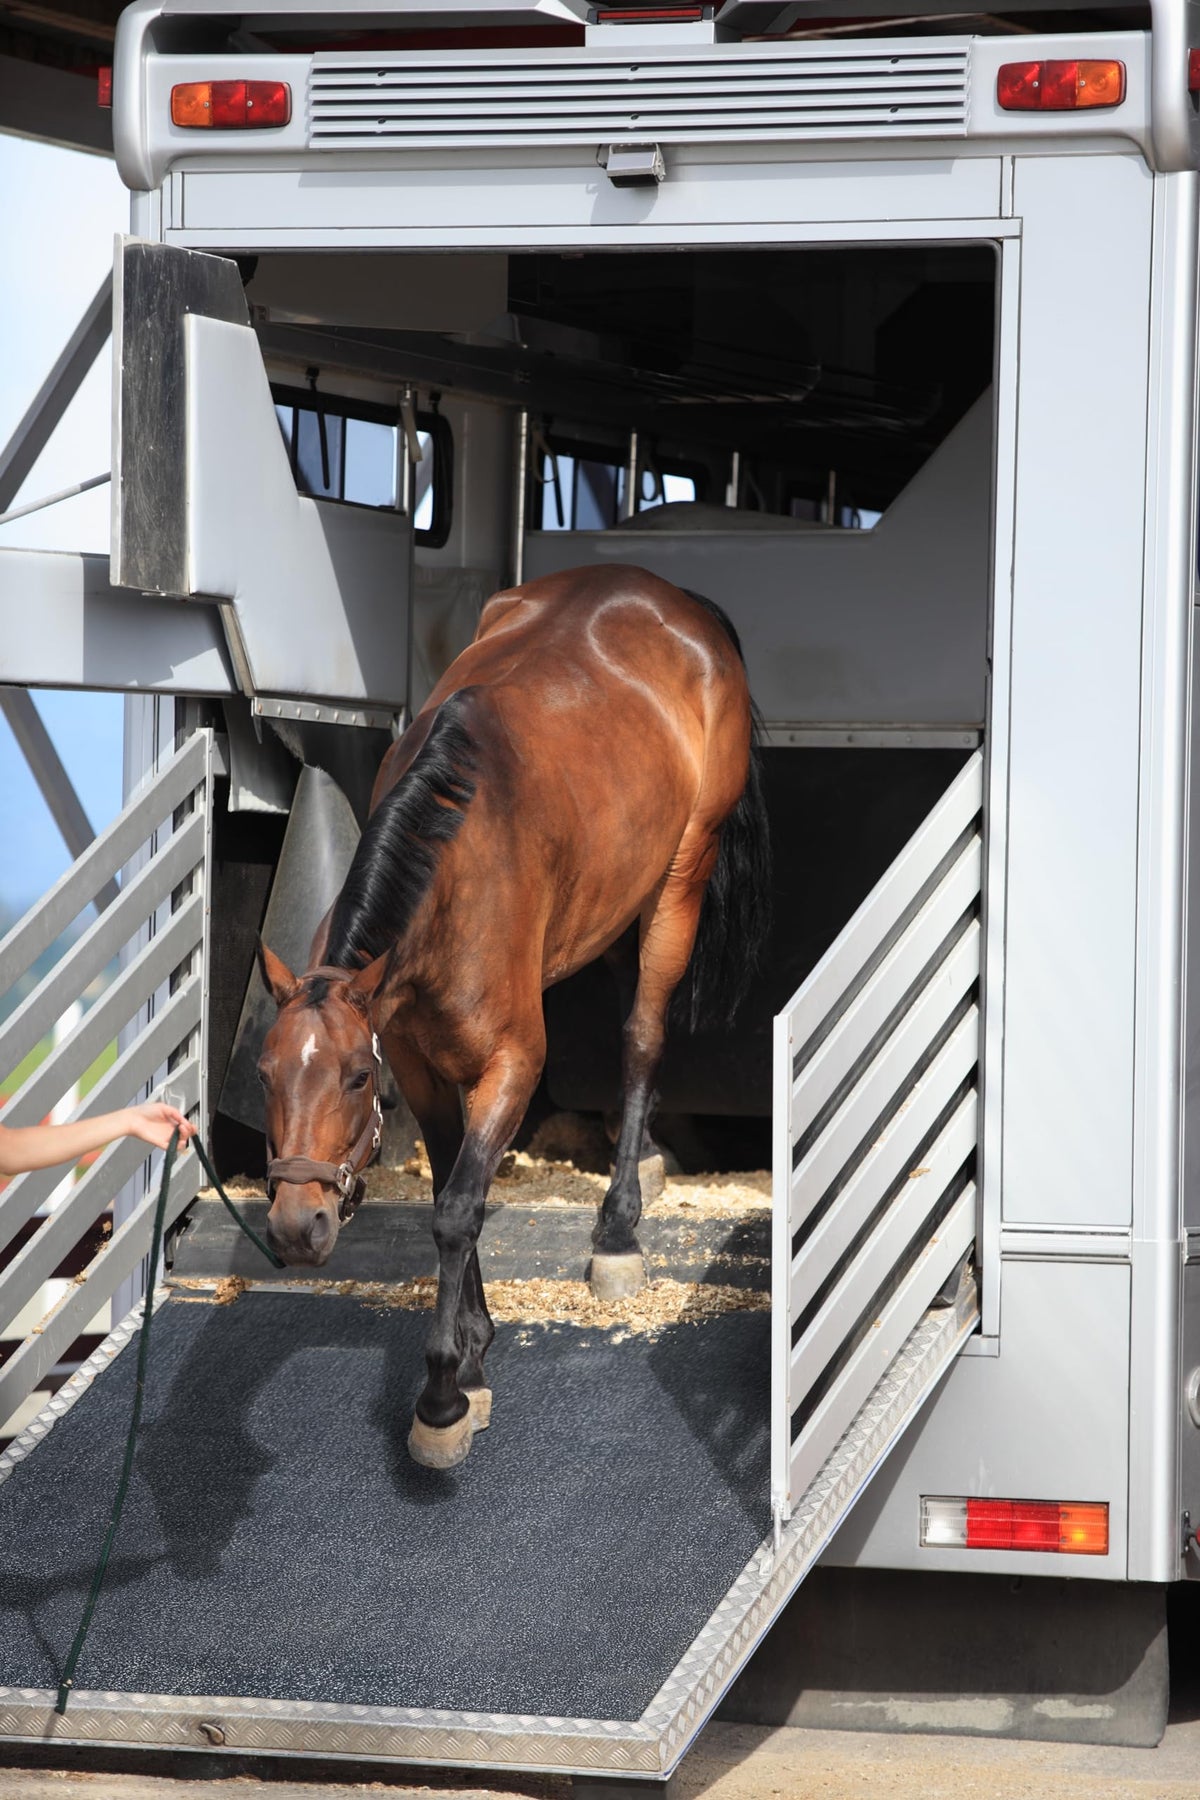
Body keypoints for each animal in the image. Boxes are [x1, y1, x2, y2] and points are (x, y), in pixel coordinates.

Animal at [255, 565, 771, 1468]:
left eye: (354, 1077)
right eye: (264, 1073)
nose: (296, 1224)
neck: (454, 859)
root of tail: (675, 599)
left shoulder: (511, 1065)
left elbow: (460, 1208)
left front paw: (442, 1395)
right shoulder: (423, 1071)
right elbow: (450, 1193)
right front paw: (473, 1351)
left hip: (679, 879)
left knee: (642, 1035)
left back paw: (618, 1229)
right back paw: (647, 1157)